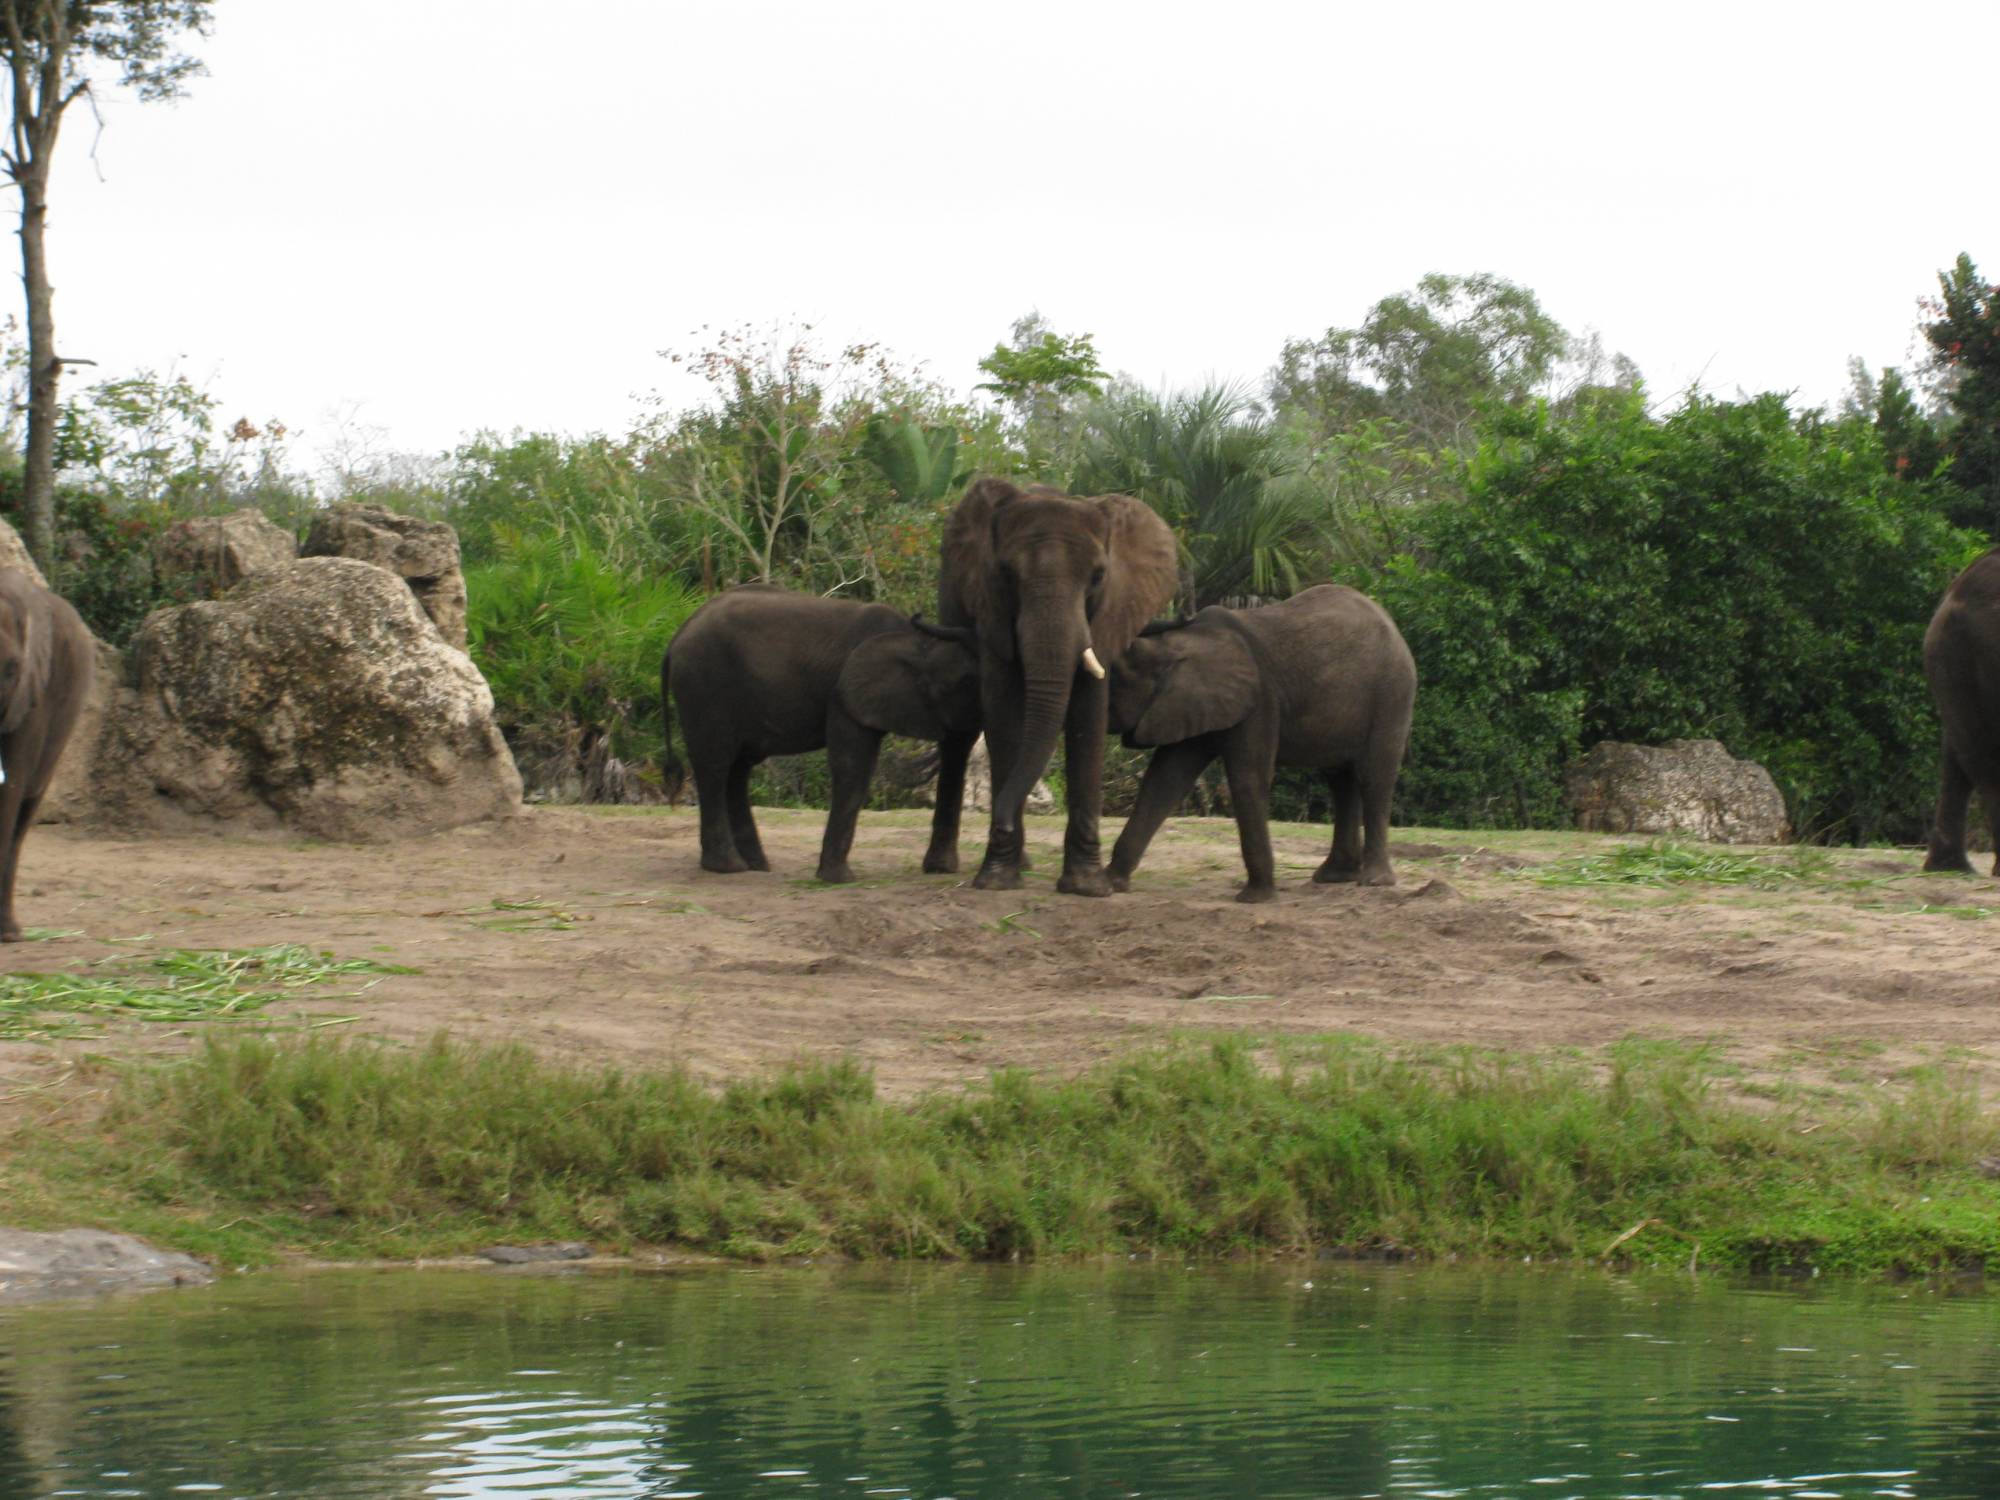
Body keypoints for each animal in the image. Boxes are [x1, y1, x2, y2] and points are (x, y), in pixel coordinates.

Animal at [668, 588, 980, 888]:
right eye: (966, 682)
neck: (919, 642)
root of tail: (679, 634)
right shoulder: (844, 694)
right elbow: (852, 767)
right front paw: (839, 879)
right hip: (704, 685)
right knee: (715, 766)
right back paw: (728, 868)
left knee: (738, 770)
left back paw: (755, 866)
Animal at [932, 482, 1168, 892]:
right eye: (1006, 573)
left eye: (1098, 576)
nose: (1002, 824)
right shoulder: (992, 608)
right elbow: (1003, 716)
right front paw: (997, 880)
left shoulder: (1107, 615)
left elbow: (1088, 719)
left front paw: (1087, 888)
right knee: (960, 736)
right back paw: (947, 865)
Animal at [1104, 588, 1416, 904]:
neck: (1176, 642)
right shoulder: (1191, 702)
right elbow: (1164, 780)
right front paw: (1109, 884)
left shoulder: (1260, 699)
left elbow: (1248, 778)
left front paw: (1255, 898)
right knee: (1340, 780)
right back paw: (1334, 877)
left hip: (1393, 693)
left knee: (1374, 777)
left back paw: (1374, 881)